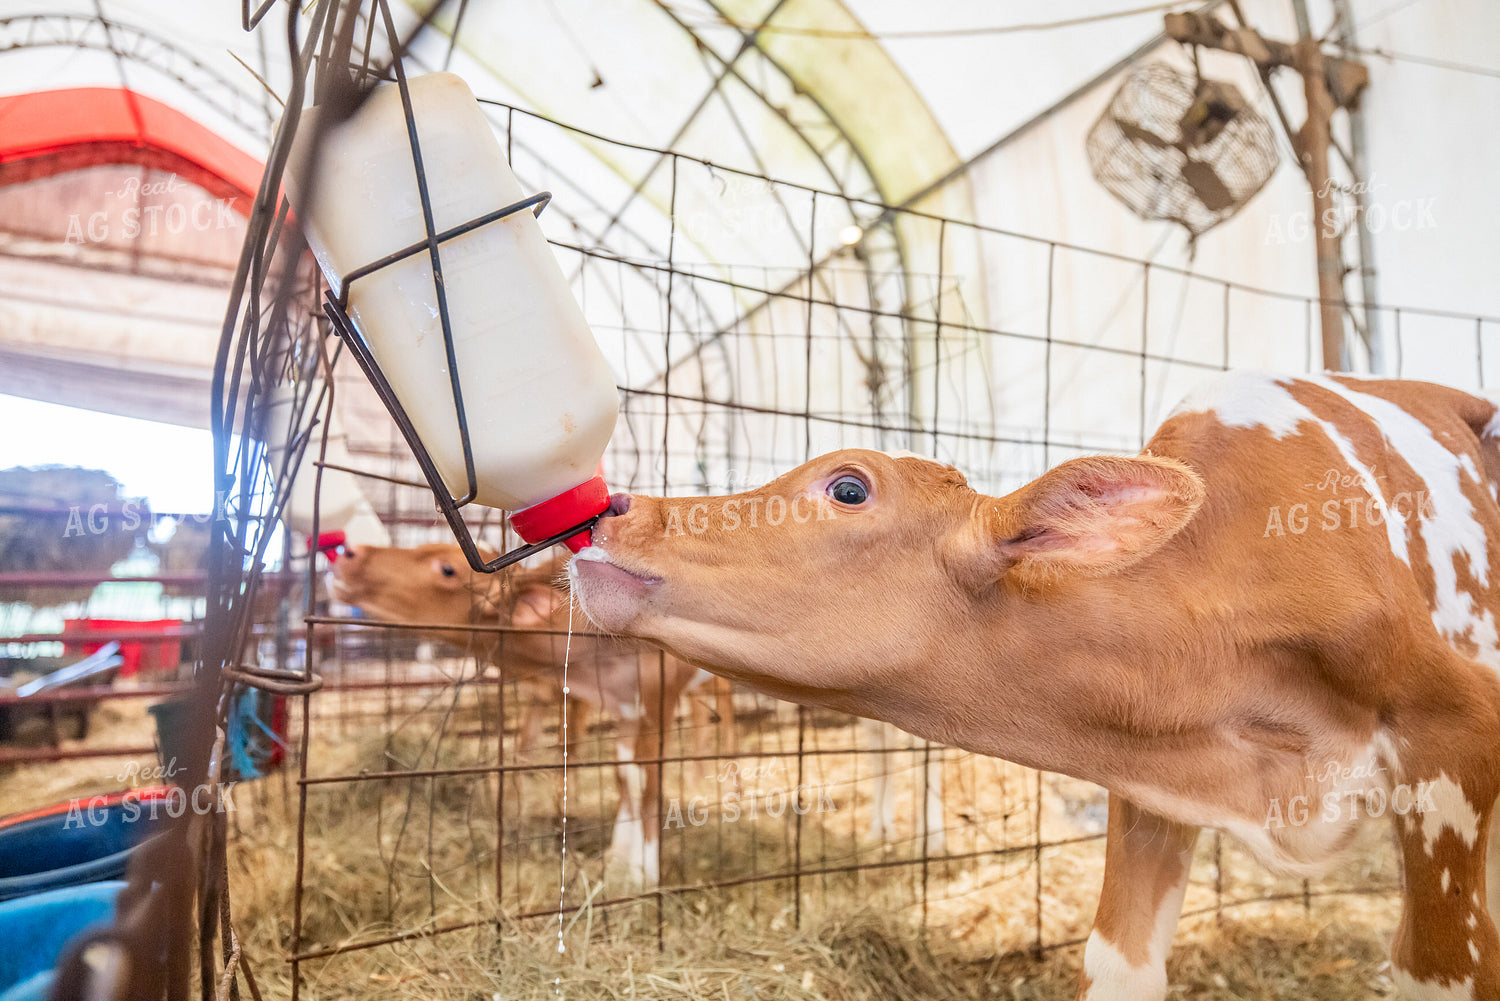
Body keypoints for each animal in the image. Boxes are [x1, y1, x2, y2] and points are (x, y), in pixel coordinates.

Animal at [329, 543, 735, 886]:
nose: (349, 552)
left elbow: (649, 784)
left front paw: (646, 873)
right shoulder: (620, 707)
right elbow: (625, 778)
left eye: (447, 568)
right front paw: (618, 859)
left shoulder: (658, 697)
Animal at [569, 372, 1500, 1000]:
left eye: (848, 486)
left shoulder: (1455, 746)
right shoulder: (1155, 772)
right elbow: (1120, 963)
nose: (617, 508)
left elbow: (1442, 968)